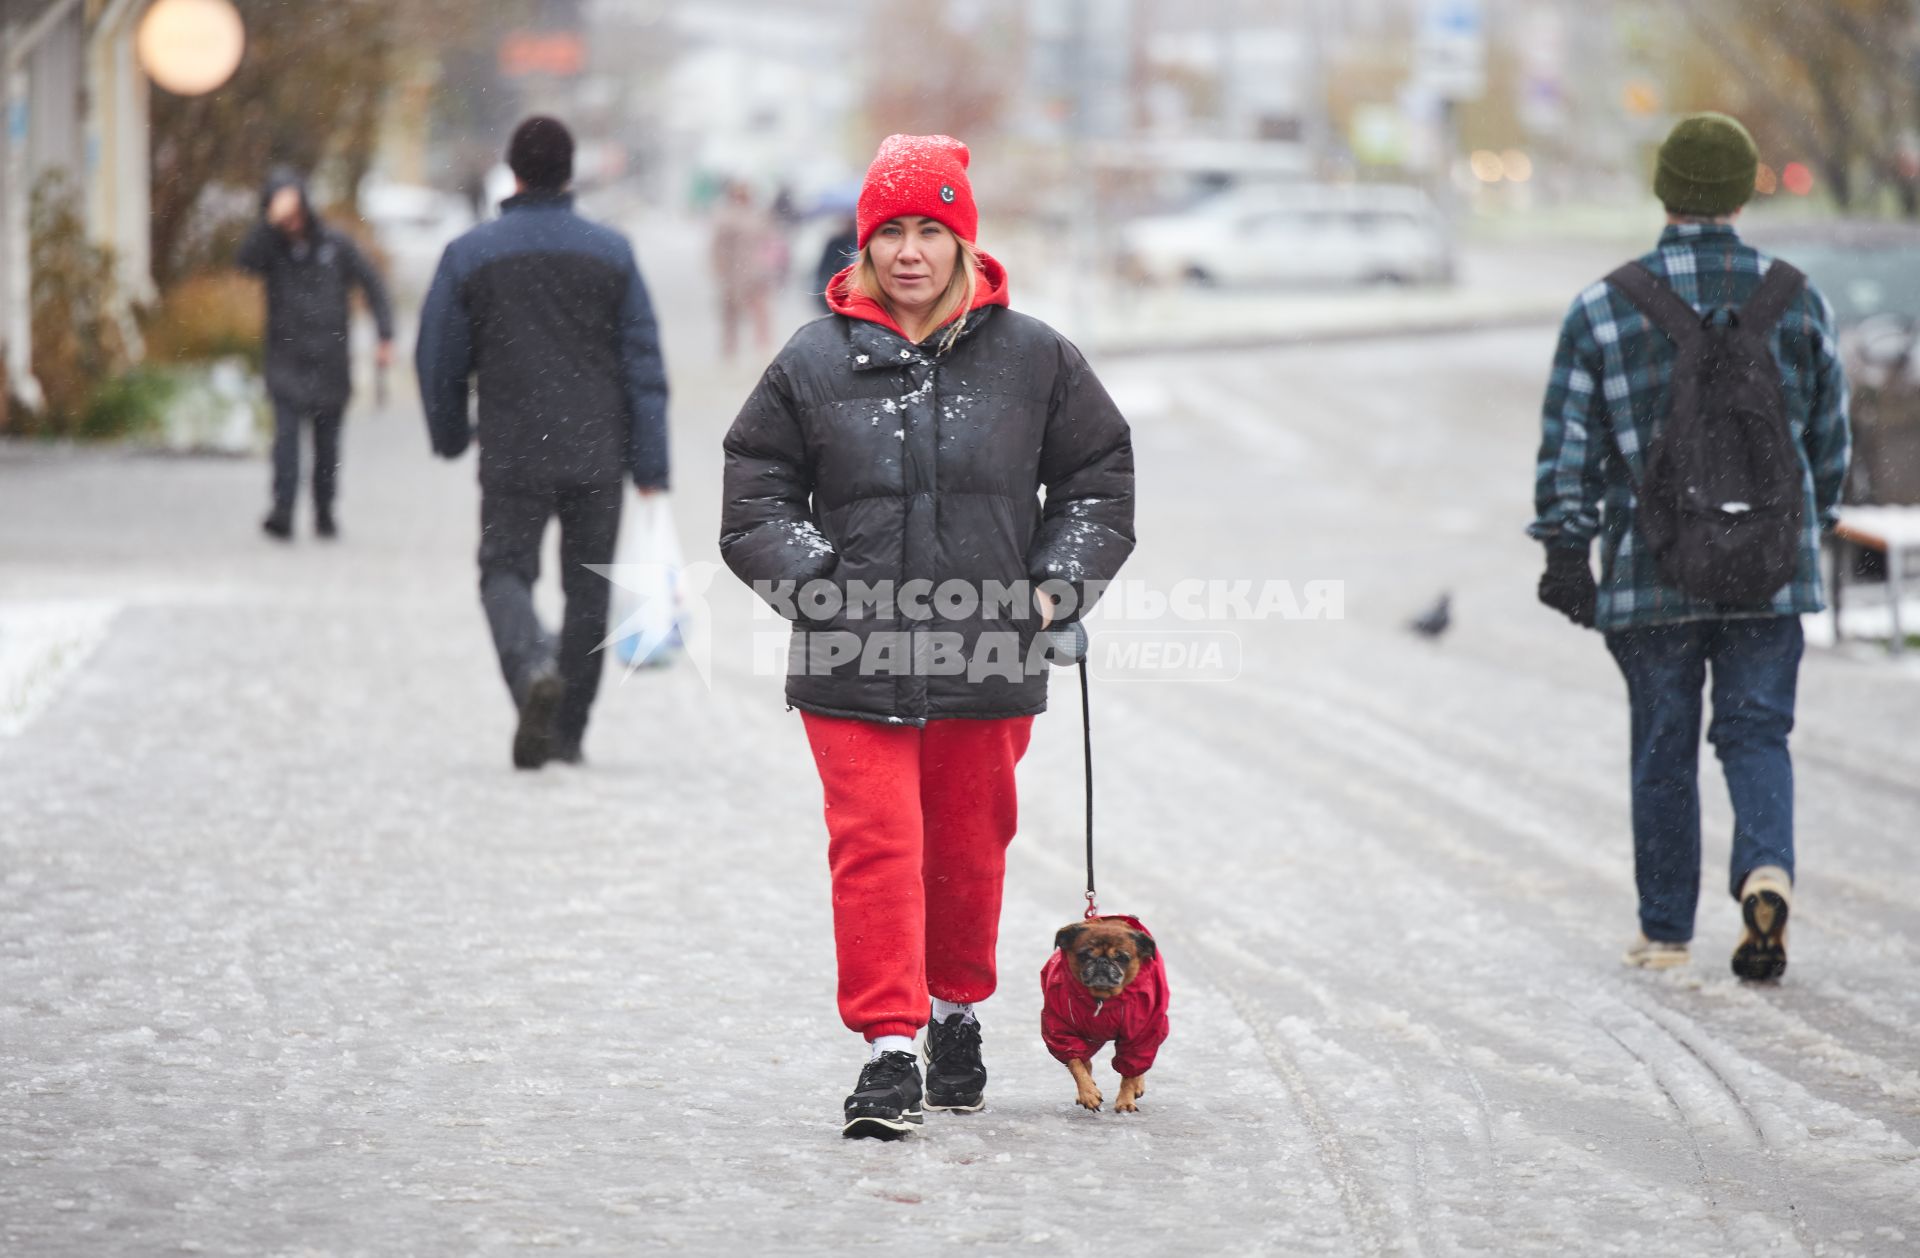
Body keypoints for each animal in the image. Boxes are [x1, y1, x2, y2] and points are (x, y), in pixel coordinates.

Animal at [1036, 914, 1167, 1113]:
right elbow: (1077, 1063)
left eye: (1121, 957)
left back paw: (1137, 1086)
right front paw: (1088, 1093)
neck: (1102, 999)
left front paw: (1126, 1100)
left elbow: (1130, 1069)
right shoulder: (1062, 1032)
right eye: (1084, 955)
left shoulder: (1138, 1036)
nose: (1102, 961)